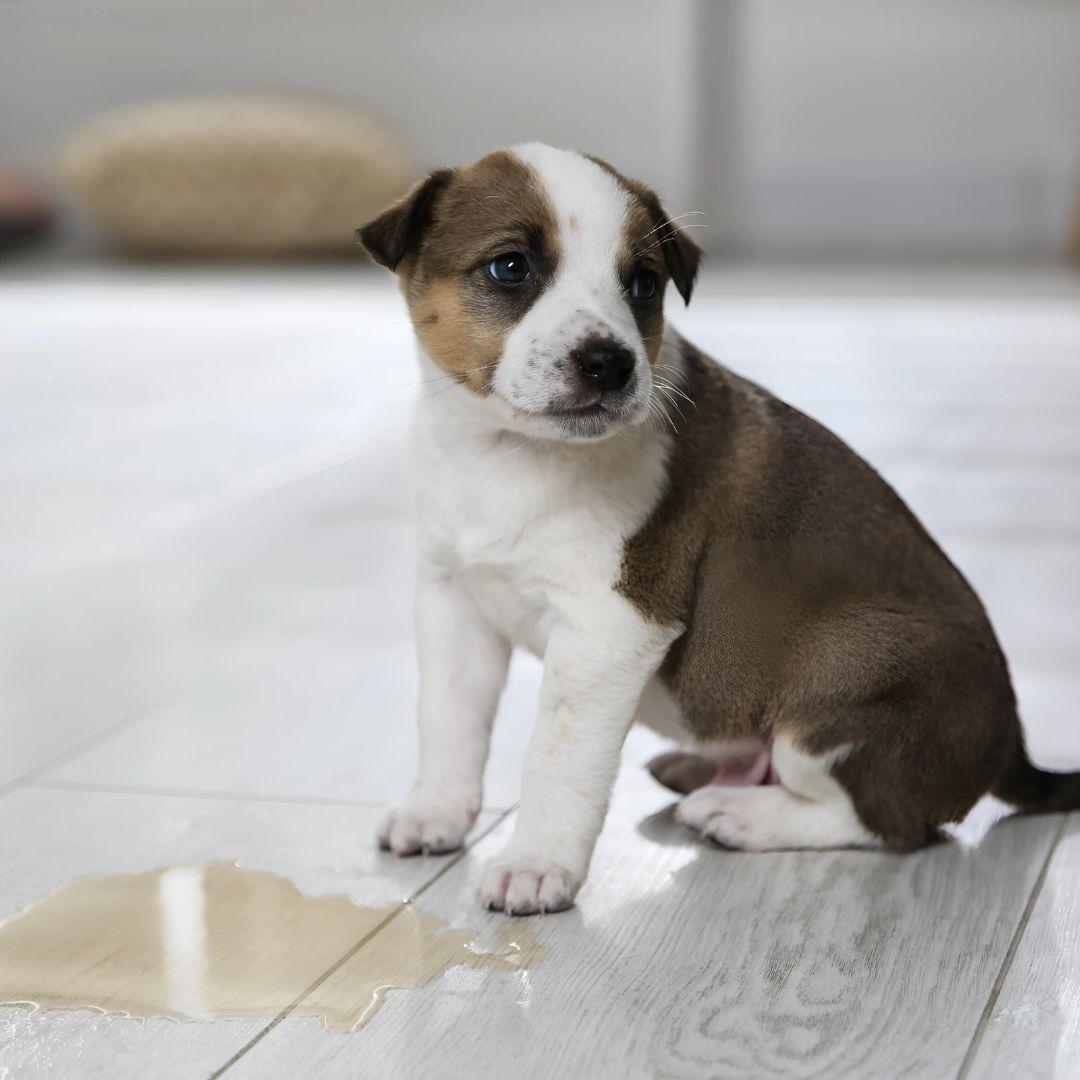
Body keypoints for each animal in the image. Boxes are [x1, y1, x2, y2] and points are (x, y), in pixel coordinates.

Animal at [360, 143, 1080, 915]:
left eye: (643, 284)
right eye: (510, 267)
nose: (610, 363)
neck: (508, 454)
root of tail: (1010, 745)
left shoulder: (610, 629)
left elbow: (557, 759)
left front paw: (536, 863)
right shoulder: (453, 601)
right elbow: (448, 720)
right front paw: (435, 811)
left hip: (846, 670)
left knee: (887, 822)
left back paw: (740, 814)